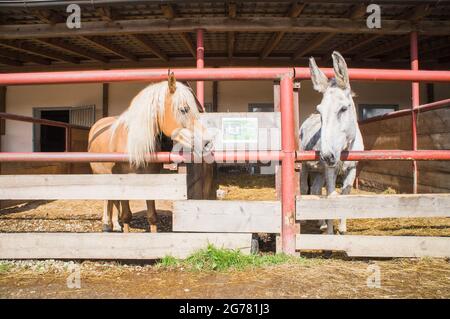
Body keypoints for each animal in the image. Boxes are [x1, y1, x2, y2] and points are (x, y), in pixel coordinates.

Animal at [89, 72, 214, 232]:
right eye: (183, 109)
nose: (207, 143)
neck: (133, 146)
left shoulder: (150, 179)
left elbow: (152, 216)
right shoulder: (123, 180)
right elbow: (126, 216)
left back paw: (114, 225)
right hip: (102, 175)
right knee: (108, 199)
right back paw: (106, 224)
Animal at [300, 50, 364, 235]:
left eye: (343, 109)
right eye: (320, 111)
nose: (327, 156)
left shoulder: (352, 169)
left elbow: (344, 196)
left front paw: (341, 229)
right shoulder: (330, 170)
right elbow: (330, 196)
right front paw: (330, 233)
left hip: (320, 171)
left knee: (315, 189)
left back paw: (320, 223)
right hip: (305, 166)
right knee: (304, 188)